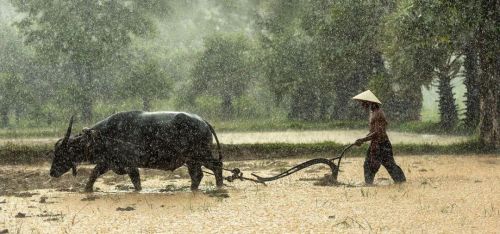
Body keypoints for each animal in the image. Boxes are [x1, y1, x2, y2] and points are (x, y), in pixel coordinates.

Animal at [49, 111, 224, 192]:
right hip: (192, 160)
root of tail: (203, 121)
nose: (52, 172)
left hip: (202, 155)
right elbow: (93, 174)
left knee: (217, 166)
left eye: (61, 153)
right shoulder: (107, 162)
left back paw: (219, 186)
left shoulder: (130, 165)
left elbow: (136, 182)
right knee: (197, 175)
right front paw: (87, 190)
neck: (106, 135)